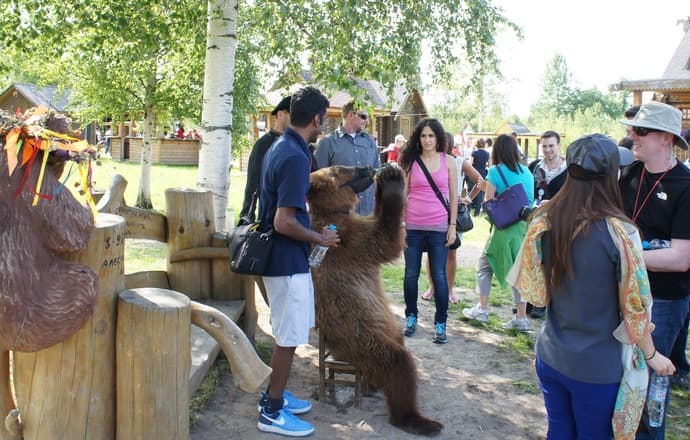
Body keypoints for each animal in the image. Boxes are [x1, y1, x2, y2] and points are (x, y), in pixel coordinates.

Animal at [308, 164, 443, 436]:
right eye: (341, 169)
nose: (366, 167)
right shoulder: (348, 242)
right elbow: (385, 239)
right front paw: (392, 179)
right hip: (359, 339)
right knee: (397, 365)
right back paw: (419, 420)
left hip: (382, 330)